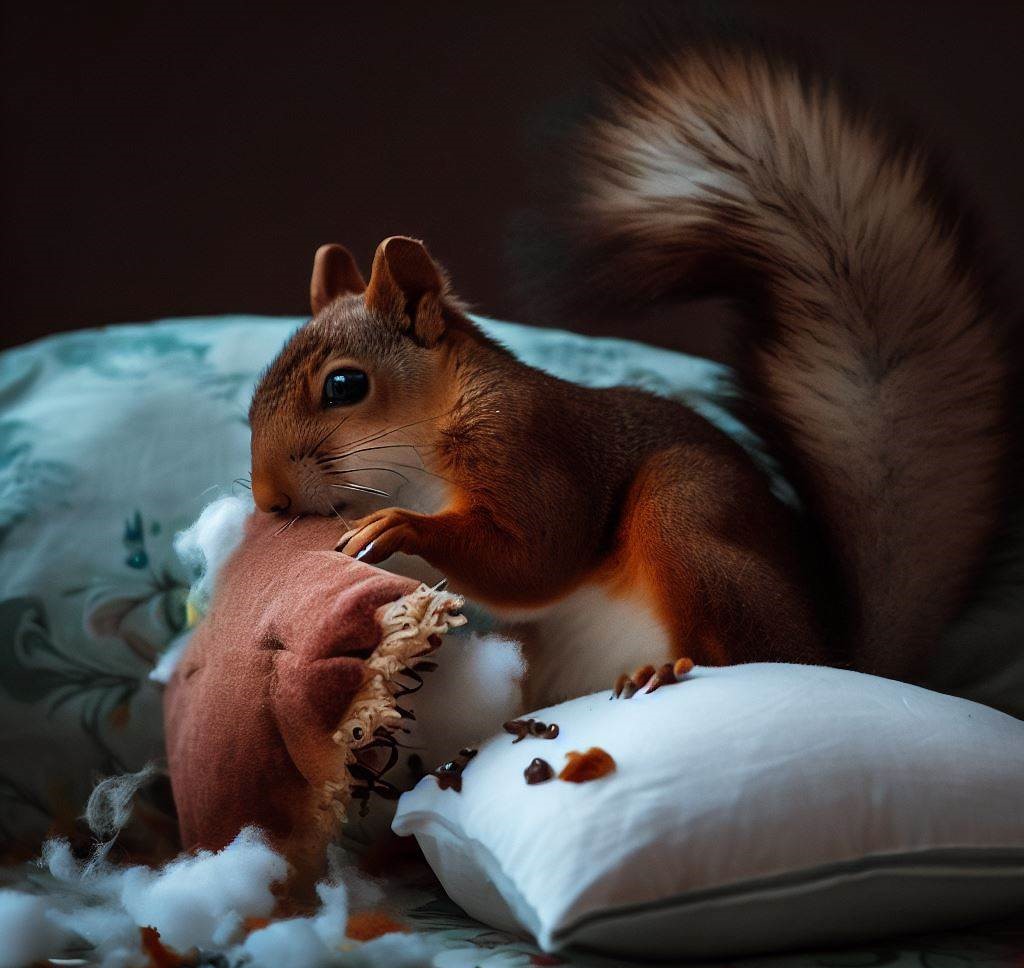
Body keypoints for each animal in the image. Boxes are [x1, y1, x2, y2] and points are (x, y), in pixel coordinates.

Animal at [248, 41, 1013, 709]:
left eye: (345, 386)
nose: (269, 501)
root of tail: (835, 657)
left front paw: (401, 526)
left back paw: (667, 669)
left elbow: (538, 553)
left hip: (687, 510)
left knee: (747, 653)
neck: (423, 445)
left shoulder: (527, 442)